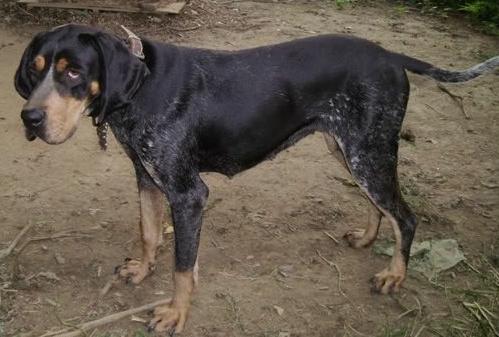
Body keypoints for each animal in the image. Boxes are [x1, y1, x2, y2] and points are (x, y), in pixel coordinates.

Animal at [15, 25, 499, 332]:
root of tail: (391, 55)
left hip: (369, 153)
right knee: (379, 208)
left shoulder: (188, 194)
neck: (139, 89)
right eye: (36, 70)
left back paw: (394, 275)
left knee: (407, 217)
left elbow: (182, 268)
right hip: (350, 148)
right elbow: (150, 233)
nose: (30, 119)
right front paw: (142, 268)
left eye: (73, 71)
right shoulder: (148, 178)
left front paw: (175, 313)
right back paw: (366, 237)